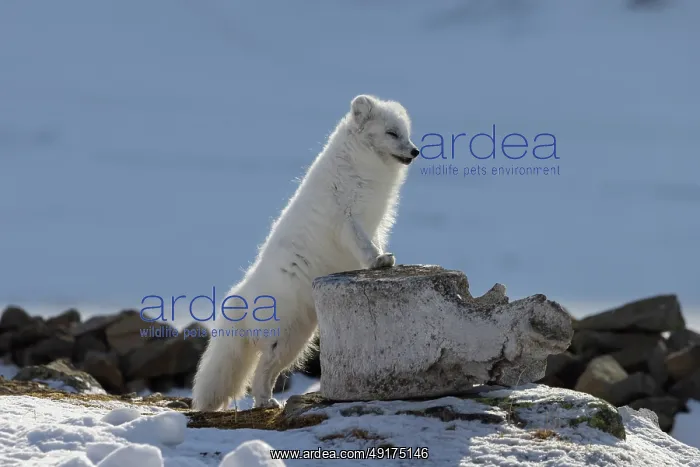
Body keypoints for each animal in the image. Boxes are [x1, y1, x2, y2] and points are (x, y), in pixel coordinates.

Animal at [192, 94, 419, 410]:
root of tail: (239, 295)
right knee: (261, 371)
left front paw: (382, 258)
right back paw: (266, 403)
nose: (416, 151)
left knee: (266, 373)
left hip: (296, 340)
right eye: (391, 133)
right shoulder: (348, 220)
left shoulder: (373, 223)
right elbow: (364, 246)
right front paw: (379, 262)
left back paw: (268, 402)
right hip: (283, 337)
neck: (360, 164)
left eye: (406, 133)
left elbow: (373, 243)